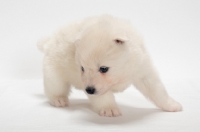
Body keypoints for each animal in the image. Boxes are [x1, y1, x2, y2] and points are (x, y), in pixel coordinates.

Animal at [36, 14, 182, 117]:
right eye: (82, 68)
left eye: (103, 69)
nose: (88, 90)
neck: (123, 71)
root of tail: (48, 43)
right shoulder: (94, 86)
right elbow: (103, 97)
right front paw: (109, 109)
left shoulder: (143, 71)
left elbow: (158, 91)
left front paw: (171, 105)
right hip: (54, 74)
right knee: (54, 89)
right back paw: (58, 100)